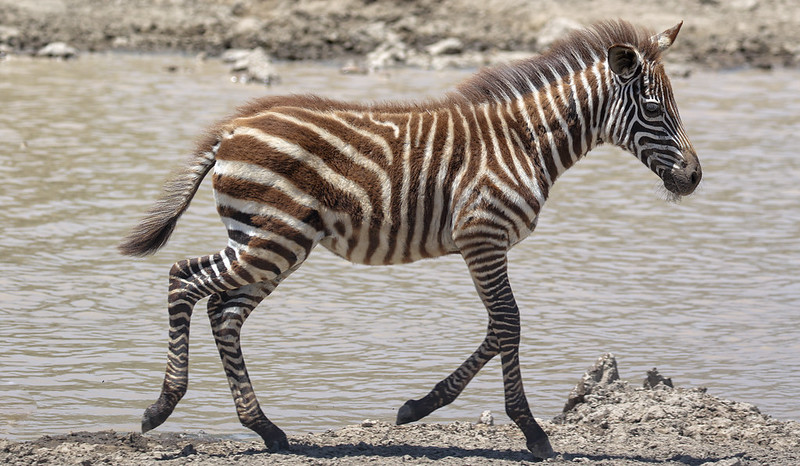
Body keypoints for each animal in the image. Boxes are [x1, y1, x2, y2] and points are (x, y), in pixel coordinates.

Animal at [119, 20, 700, 458]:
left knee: (223, 310)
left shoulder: (482, 244)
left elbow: (498, 328)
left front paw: (419, 407)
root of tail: (232, 130)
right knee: (184, 280)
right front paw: (531, 431)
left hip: (269, 241)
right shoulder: (483, 237)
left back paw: (266, 429)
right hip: (272, 238)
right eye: (654, 109)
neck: (525, 141)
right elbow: (509, 324)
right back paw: (161, 407)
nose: (694, 177)